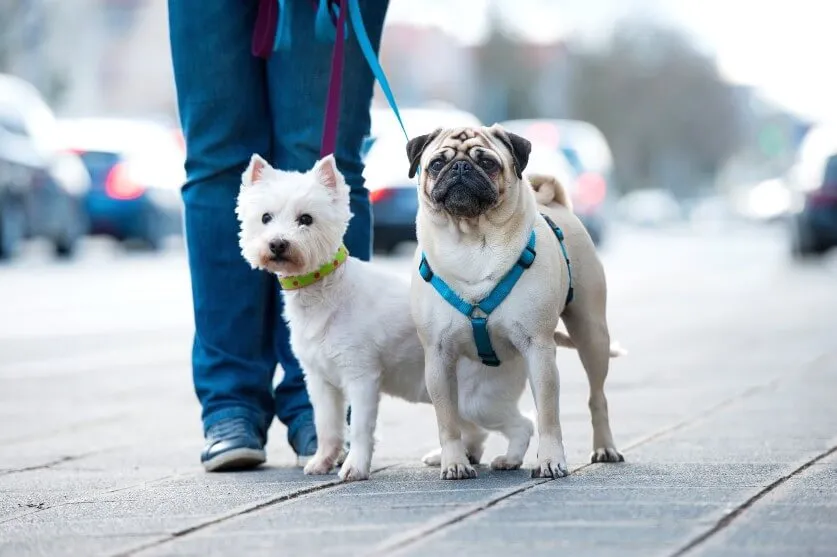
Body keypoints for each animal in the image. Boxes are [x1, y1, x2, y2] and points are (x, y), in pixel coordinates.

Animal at [402, 125, 624, 478]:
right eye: (436, 164)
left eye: (487, 163)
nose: (460, 167)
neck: (471, 241)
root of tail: (556, 204)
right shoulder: (437, 355)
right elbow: (447, 419)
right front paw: (454, 461)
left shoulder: (538, 348)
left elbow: (547, 413)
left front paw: (550, 460)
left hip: (592, 335)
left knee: (596, 396)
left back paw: (604, 447)